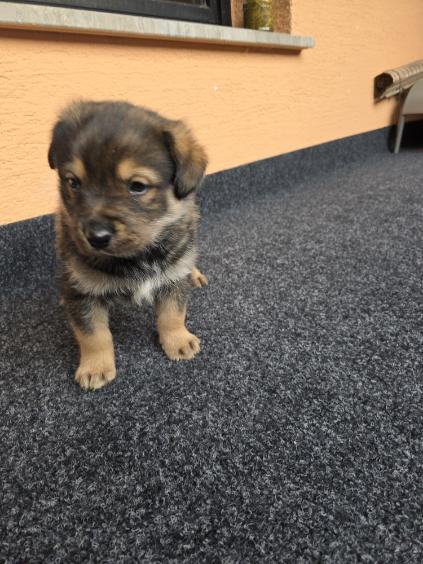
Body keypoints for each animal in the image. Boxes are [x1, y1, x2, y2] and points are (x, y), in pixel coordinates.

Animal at [48, 100, 208, 390]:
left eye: (137, 186)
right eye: (73, 182)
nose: (96, 237)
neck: (136, 255)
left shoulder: (172, 276)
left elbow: (172, 314)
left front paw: (178, 341)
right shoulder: (82, 291)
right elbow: (93, 334)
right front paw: (95, 367)